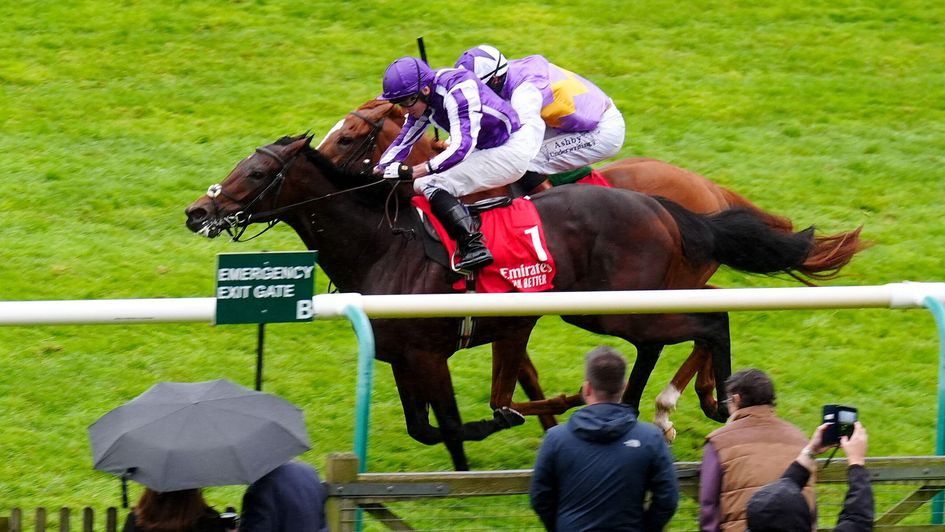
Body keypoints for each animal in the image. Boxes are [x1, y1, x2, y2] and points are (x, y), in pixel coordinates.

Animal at [183, 134, 856, 470]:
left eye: (256, 172)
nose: (197, 211)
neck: (384, 241)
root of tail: (669, 203)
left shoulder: (432, 353)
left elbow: (460, 423)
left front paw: (522, 419)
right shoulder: (405, 356)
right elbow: (432, 428)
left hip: (615, 303)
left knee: (707, 318)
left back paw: (704, 403)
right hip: (609, 304)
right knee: (673, 332)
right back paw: (650, 404)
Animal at [316, 100, 864, 436]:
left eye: (347, 137)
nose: (323, 170)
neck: (466, 196)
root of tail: (710, 189)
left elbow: (520, 372)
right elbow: (523, 373)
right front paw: (543, 421)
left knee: (695, 324)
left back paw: (676, 404)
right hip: (673, 281)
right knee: (704, 317)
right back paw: (697, 397)